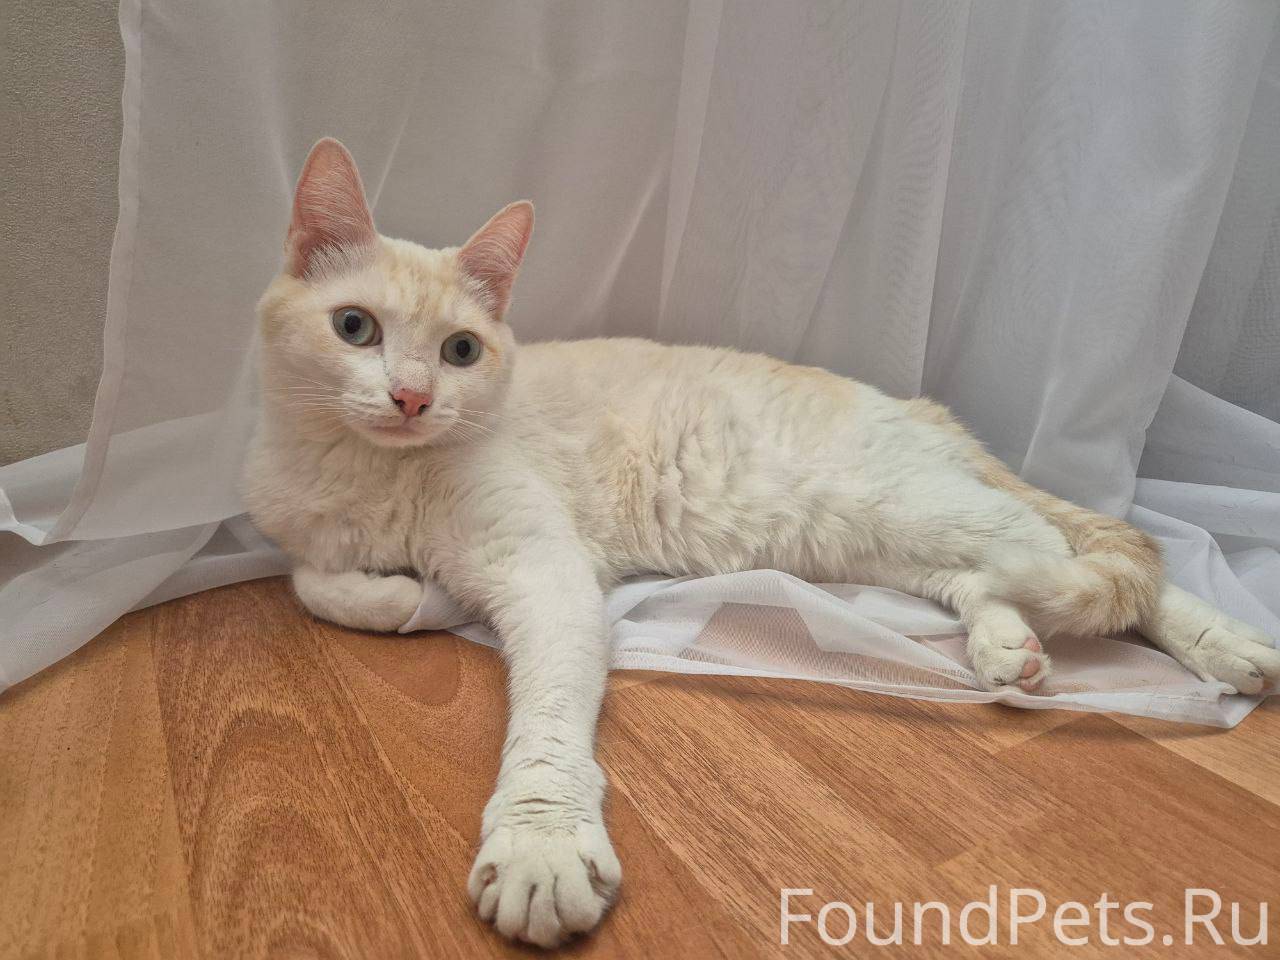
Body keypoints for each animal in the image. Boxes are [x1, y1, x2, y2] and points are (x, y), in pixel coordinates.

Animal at [244, 138, 1279, 947]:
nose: (412, 398)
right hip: (868, 542)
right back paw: (1006, 646)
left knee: (1097, 560)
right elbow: (315, 581)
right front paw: (409, 597)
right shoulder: (299, 528)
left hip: (915, 505)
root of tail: (919, 407)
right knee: (988, 577)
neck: (378, 477)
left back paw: (1225, 644)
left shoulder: (546, 572)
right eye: (355, 328)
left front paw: (539, 844)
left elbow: (542, 725)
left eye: (461, 350)